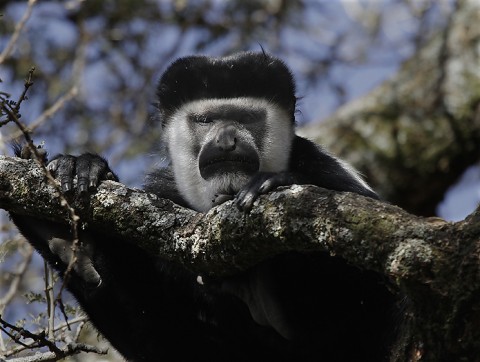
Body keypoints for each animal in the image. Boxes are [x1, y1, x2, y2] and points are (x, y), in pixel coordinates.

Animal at [11, 51, 396, 362]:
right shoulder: (165, 194)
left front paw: (277, 184)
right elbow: (166, 340)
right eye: (206, 120)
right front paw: (73, 187)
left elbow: (383, 294)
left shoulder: (324, 170)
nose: (227, 140)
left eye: (247, 118)